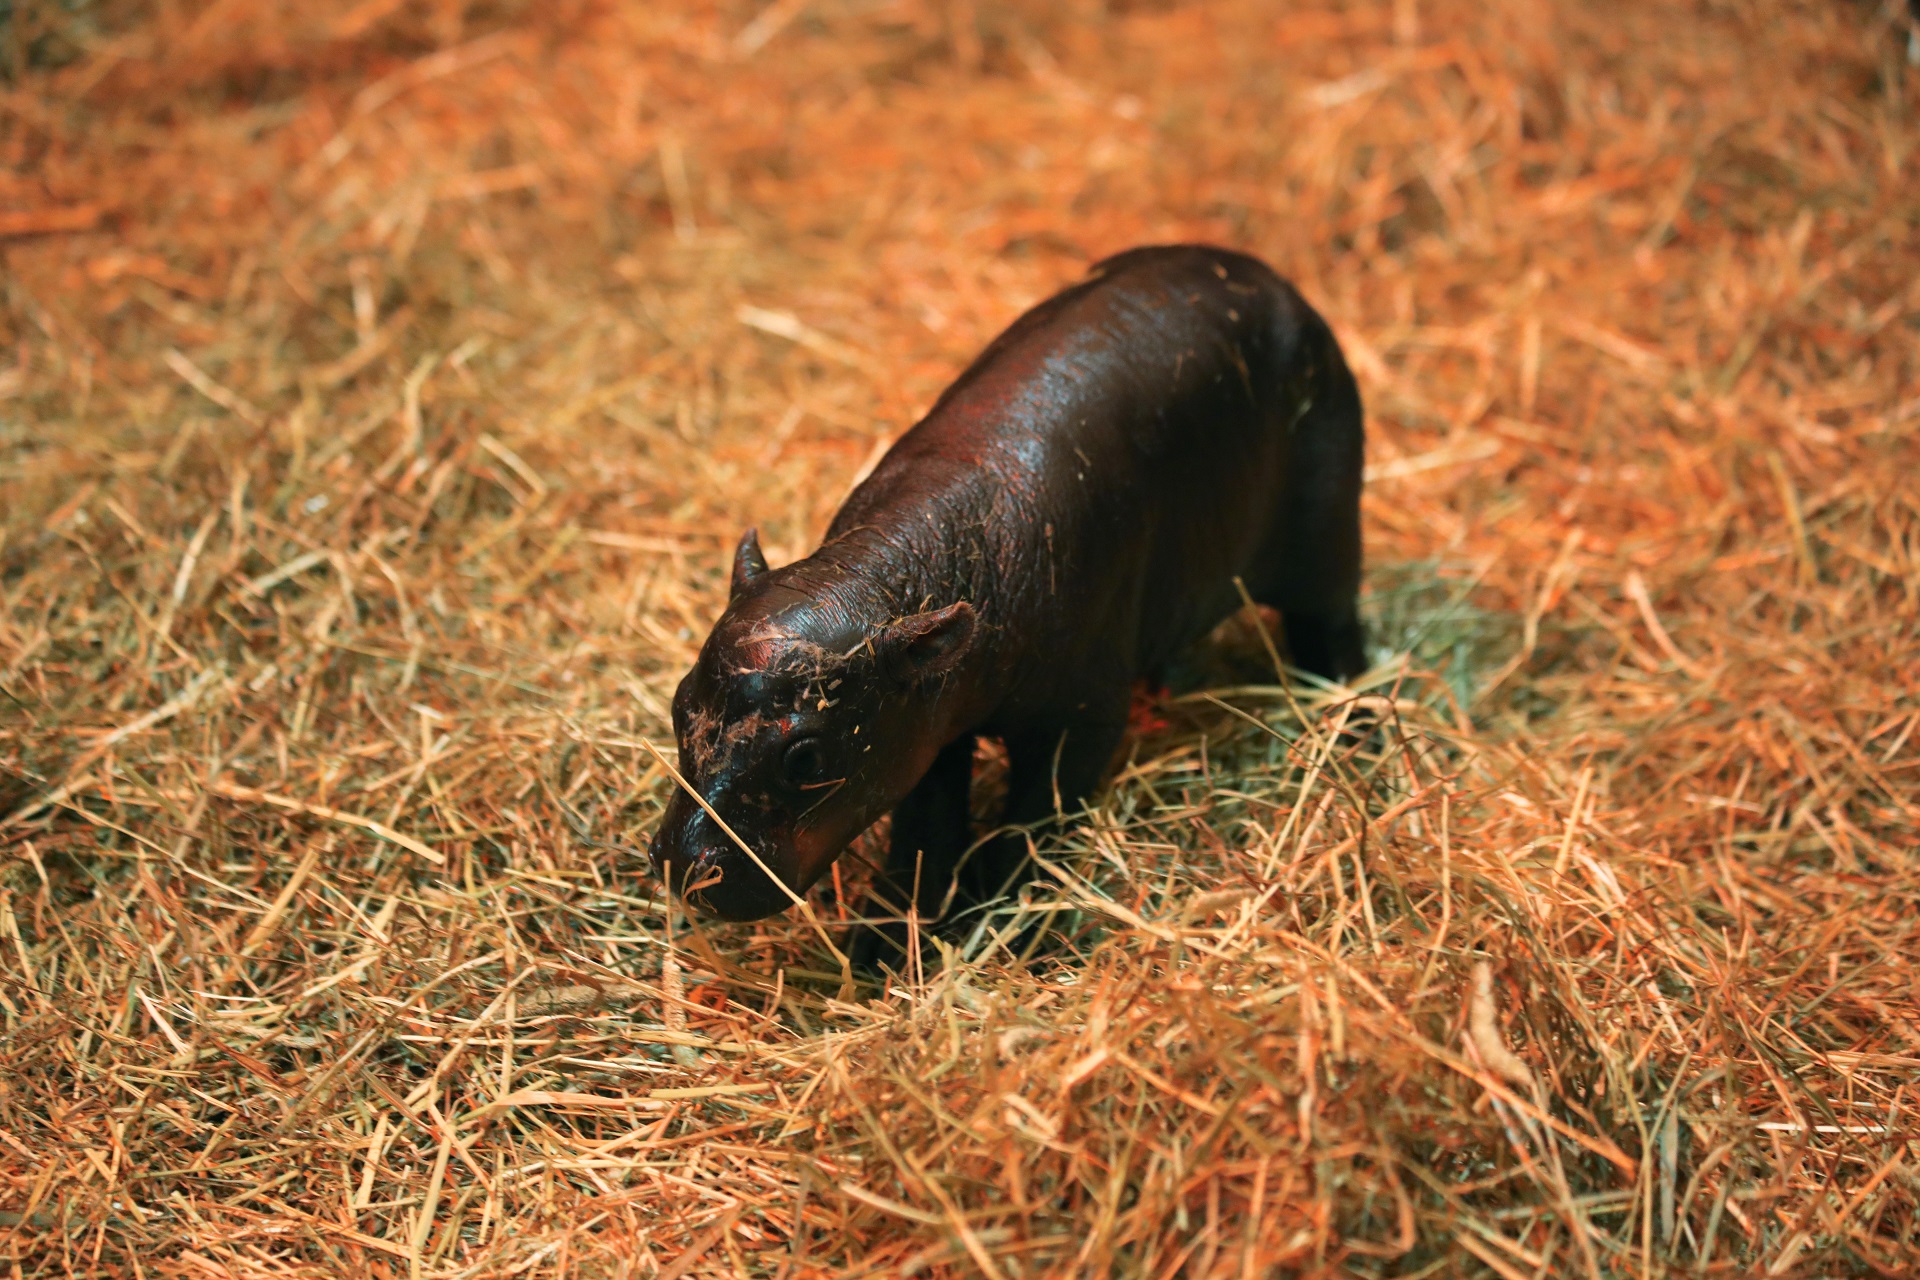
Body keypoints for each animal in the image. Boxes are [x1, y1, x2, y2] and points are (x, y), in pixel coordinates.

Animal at [656, 245, 1367, 971]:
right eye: (679, 704)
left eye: (806, 757)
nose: (685, 868)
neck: (881, 575)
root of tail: (1272, 278)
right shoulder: (928, 722)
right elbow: (926, 828)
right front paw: (884, 947)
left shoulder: (1079, 721)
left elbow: (1031, 822)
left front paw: (996, 927)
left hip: (1327, 534)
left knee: (1334, 628)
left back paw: (1351, 727)